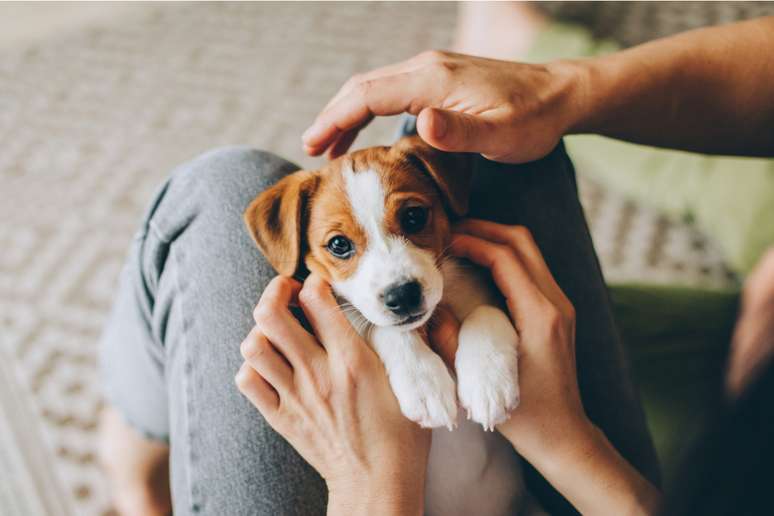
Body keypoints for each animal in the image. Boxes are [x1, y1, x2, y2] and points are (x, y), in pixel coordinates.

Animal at [246, 136, 536, 516]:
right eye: (339, 245)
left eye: (414, 216)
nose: (403, 295)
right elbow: (384, 329)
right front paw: (423, 383)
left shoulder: (488, 295)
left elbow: (486, 312)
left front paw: (488, 383)